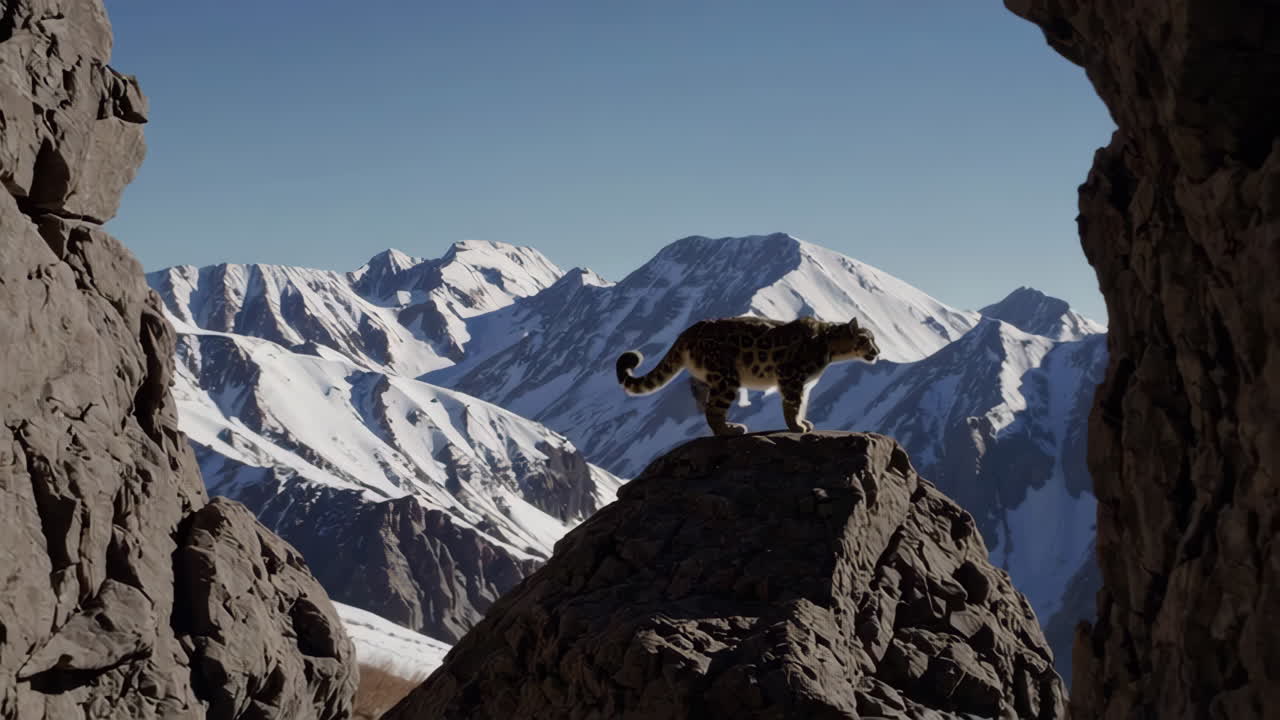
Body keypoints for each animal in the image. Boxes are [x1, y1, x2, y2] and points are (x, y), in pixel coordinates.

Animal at [615, 315, 880, 436]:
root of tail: (689, 330)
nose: (878, 351)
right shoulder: (791, 377)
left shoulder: (804, 384)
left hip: (709, 378)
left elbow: (802, 404)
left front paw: (804, 423)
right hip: (727, 379)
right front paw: (796, 426)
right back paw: (730, 429)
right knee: (713, 409)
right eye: (867, 339)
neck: (829, 350)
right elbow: (792, 405)